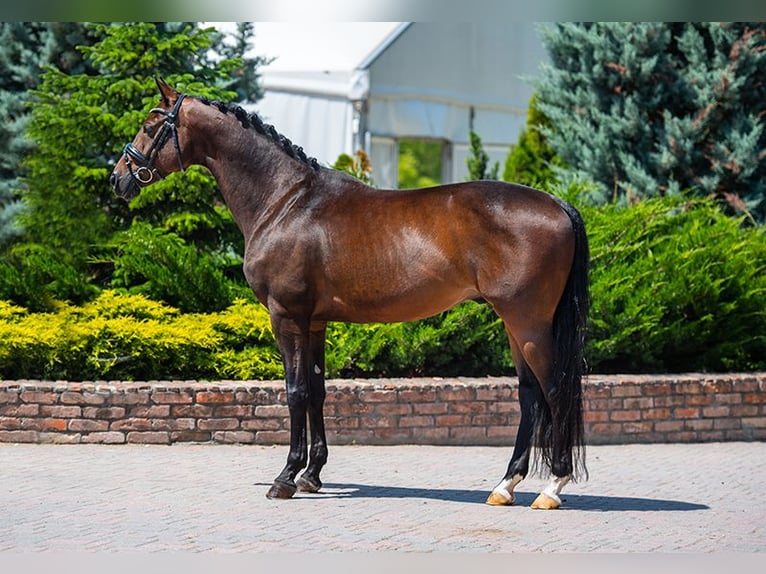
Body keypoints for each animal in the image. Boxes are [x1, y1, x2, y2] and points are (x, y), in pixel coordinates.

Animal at [110, 78, 590, 510]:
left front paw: (285, 478)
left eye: (151, 125)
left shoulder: (286, 317)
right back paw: (505, 486)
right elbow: (317, 390)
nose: (118, 179)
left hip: (528, 323)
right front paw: (312, 475)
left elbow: (295, 392)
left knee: (555, 390)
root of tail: (558, 204)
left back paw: (551, 488)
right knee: (529, 395)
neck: (285, 202)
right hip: (513, 323)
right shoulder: (315, 321)